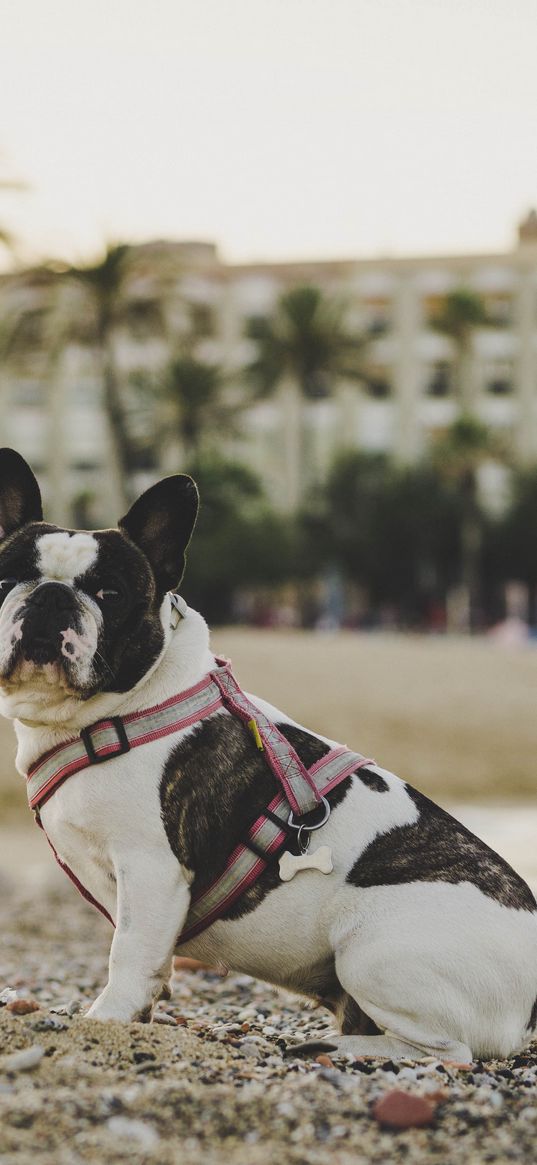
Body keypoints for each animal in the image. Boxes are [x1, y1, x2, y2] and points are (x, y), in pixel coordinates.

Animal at [0, 447, 533, 1067]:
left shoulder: (149, 869)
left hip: (374, 950)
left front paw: (107, 1022)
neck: (111, 712)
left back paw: (336, 1045)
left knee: (447, 1051)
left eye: (110, 594)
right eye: (7, 578)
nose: (51, 596)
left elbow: (128, 953)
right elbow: (149, 965)